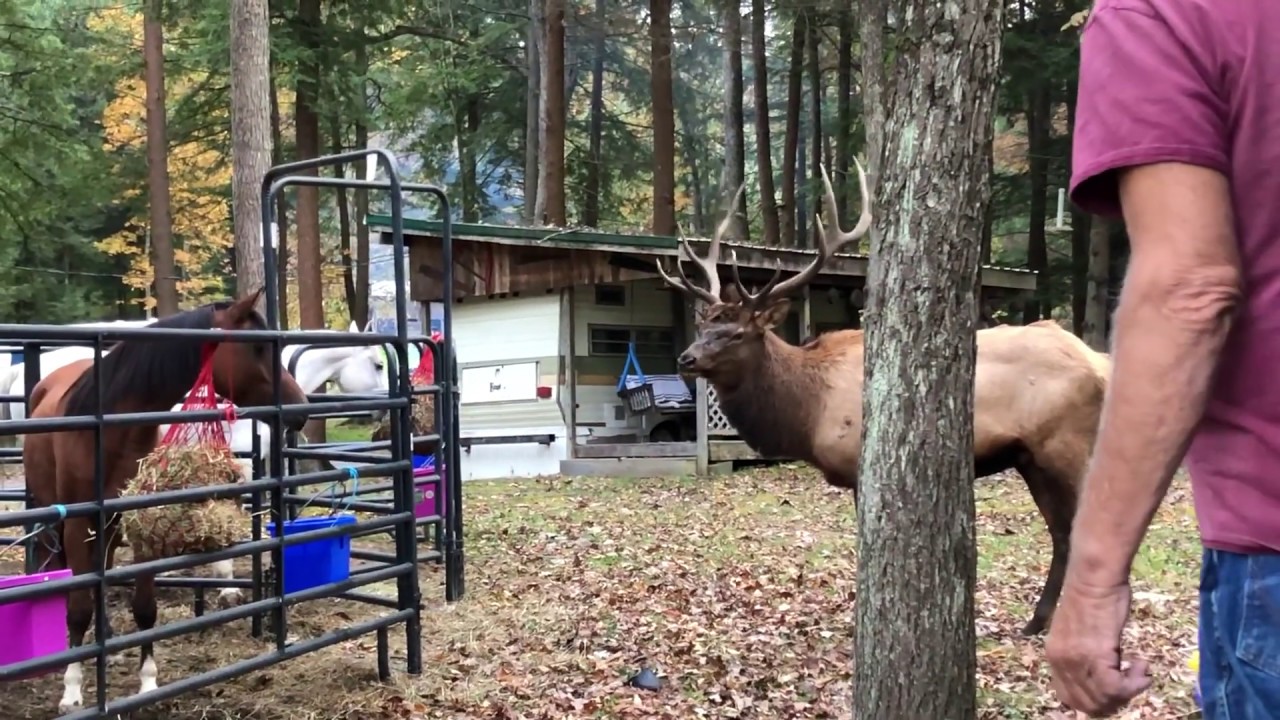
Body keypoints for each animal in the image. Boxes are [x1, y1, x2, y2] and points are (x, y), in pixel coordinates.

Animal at [22, 290, 310, 713]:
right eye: (256, 347)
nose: (300, 408)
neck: (112, 428)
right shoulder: (77, 525)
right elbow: (77, 609)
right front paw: (72, 692)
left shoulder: (138, 520)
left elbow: (144, 608)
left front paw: (148, 684)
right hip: (53, 521)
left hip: (109, 527)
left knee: (103, 571)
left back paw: (107, 641)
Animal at [655, 159, 1111, 637]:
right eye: (705, 326)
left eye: (737, 333)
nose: (686, 358)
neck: (805, 412)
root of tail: (1100, 362)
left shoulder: (860, 464)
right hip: (1031, 457)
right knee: (1062, 532)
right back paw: (1037, 621)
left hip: (1067, 445)